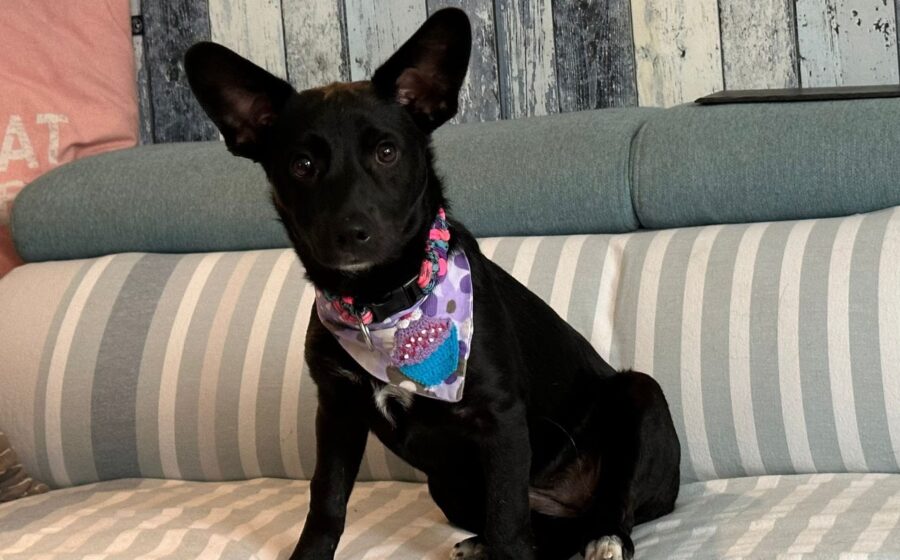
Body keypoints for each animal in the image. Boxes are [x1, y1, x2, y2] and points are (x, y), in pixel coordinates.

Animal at [185, 8, 680, 560]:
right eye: (302, 165)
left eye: (386, 152)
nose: (350, 233)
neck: (381, 306)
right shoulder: (337, 411)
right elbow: (326, 499)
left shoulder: (500, 420)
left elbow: (508, 522)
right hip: (446, 486)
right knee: (543, 532)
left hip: (640, 399)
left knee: (608, 505)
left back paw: (606, 538)